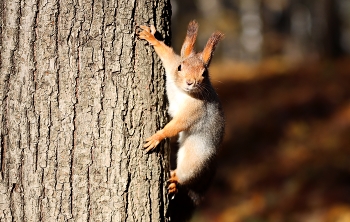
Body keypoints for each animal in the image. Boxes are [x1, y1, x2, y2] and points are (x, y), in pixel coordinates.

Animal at [137, 20, 224, 220]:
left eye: (204, 73)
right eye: (180, 67)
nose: (191, 82)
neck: (183, 92)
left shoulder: (195, 111)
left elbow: (176, 125)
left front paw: (157, 136)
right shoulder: (171, 64)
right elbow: (166, 53)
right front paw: (152, 37)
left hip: (196, 157)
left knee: (186, 174)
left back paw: (175, 180)